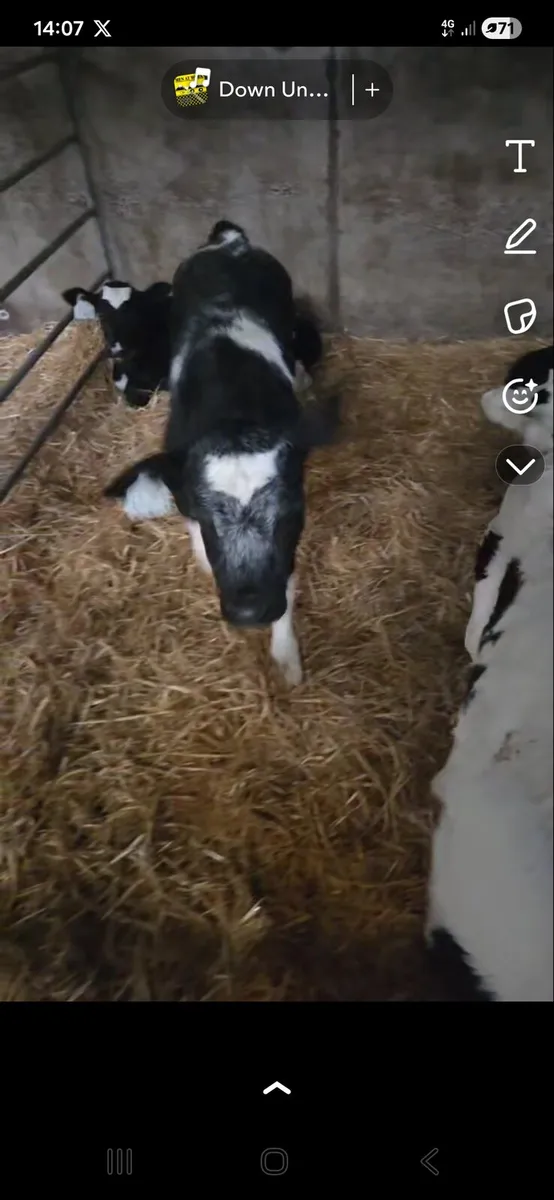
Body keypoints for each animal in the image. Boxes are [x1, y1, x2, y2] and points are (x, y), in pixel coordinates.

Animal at [103, 219, 339, 685]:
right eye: (209, 514)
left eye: (290, 514)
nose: (250, 611)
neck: (234, 413)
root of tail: (229, 241)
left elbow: (287, 581)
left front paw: (286, 659)